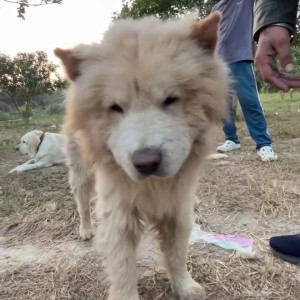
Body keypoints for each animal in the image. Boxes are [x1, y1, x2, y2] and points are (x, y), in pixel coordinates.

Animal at [56, 12, 229, 300]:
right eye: (116, 108)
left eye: (170, 99)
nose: (146, 161)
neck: (152, 186)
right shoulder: (118, 216)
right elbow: (124, 269)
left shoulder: (178, 207)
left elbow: (177, 254)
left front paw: (184, 286)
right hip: (80, 172)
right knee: (82, 202)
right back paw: (85, 229)